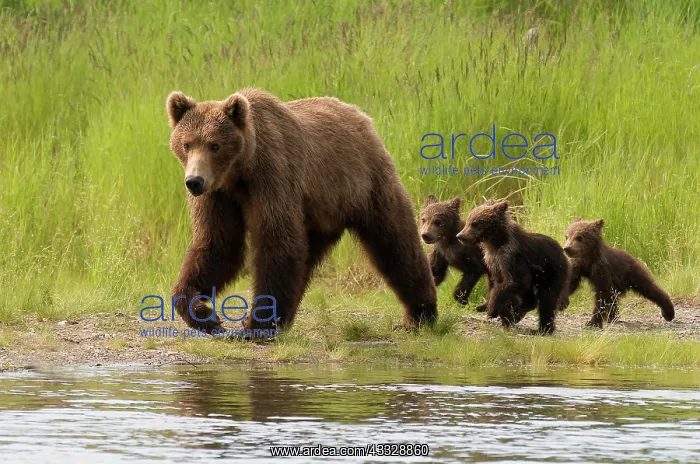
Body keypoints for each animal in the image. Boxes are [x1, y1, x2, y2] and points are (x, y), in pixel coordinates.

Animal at [165, 88, 437, 333]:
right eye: (187, 144)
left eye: (214, 145)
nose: (194, 181)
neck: (239, 172)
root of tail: (361, 115)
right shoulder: (219, 196)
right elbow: (218, 244)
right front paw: (202, 312)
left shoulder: (272, 178)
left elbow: (277, 242)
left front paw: (256, 324)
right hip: (320, 213)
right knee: (305, 257)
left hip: (365, 183)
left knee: (394, 242)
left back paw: (420, 313)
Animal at [455, 200, 569, 334]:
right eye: (469, 220)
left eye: (475, 223)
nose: (460, 236)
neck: (495, 243)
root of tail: (563, 253)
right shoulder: (493, 262)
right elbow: (496, 284)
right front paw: (493, 310)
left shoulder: (510, 256)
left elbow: (513, 282)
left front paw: (492, 310)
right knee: (529, 294)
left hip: (552, 272)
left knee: (547, 299)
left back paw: (543, 329)